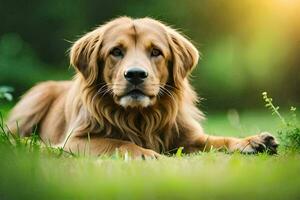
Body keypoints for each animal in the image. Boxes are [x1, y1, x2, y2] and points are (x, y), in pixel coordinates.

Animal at [7, 16, 278, 158]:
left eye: (156, 52)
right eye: (116, 51)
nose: (136, 75)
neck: (141, 117)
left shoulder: (186, 137)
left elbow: (217, 140)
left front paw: (253, 141)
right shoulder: (74, 141)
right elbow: (118, 143)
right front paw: (148, 154)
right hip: (37, 96)